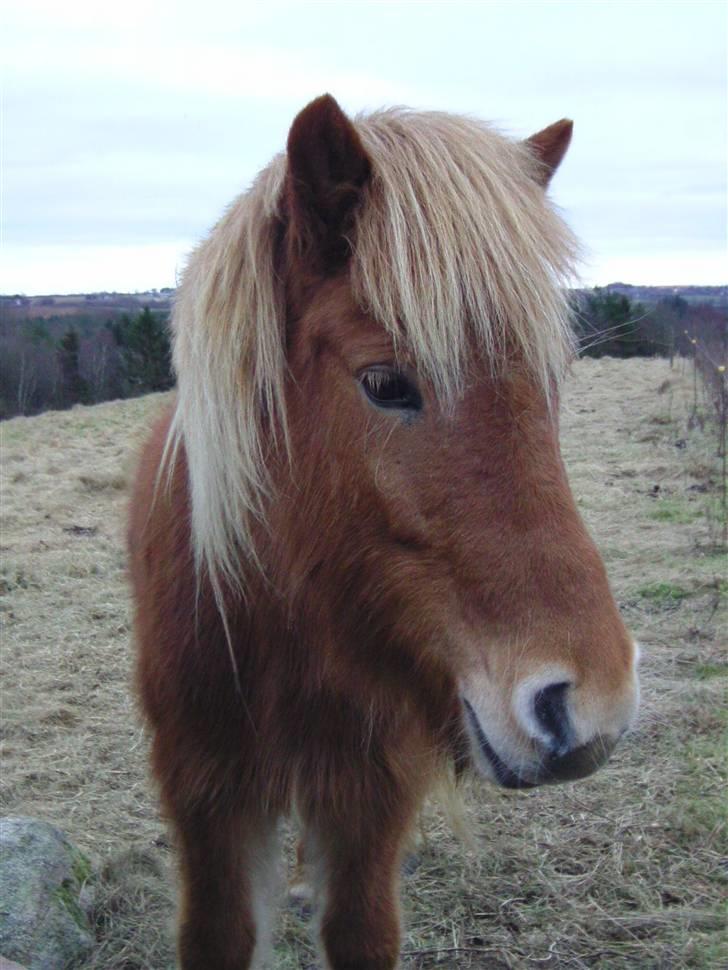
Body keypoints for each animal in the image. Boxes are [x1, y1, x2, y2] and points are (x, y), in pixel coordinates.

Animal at [128, 94, 639, 970]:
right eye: (385, 383)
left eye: (551, 380)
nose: (590, 709)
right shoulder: (208, 796)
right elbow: (220, 933)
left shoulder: (368, 795)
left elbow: (361, 927)